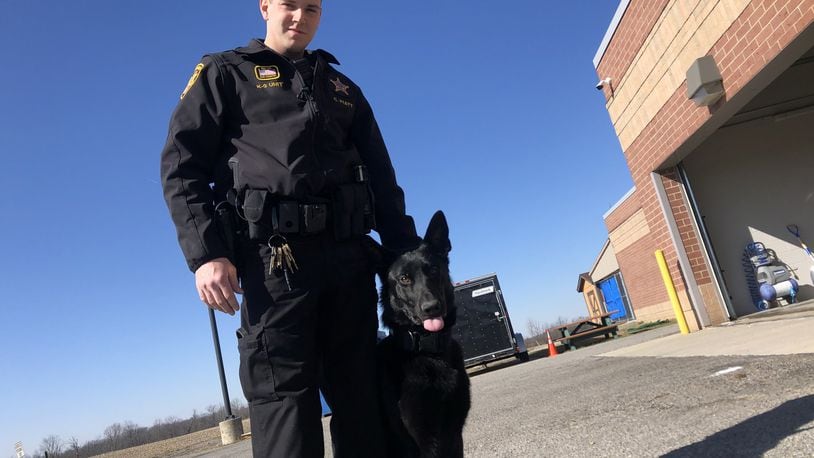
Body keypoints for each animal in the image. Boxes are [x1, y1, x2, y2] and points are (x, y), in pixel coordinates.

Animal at [378, 211, 472, 458]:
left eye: (433, 270)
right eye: (404, 279)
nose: (432, 308)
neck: (428, 352)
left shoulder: (454, 433)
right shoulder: (419, 440)